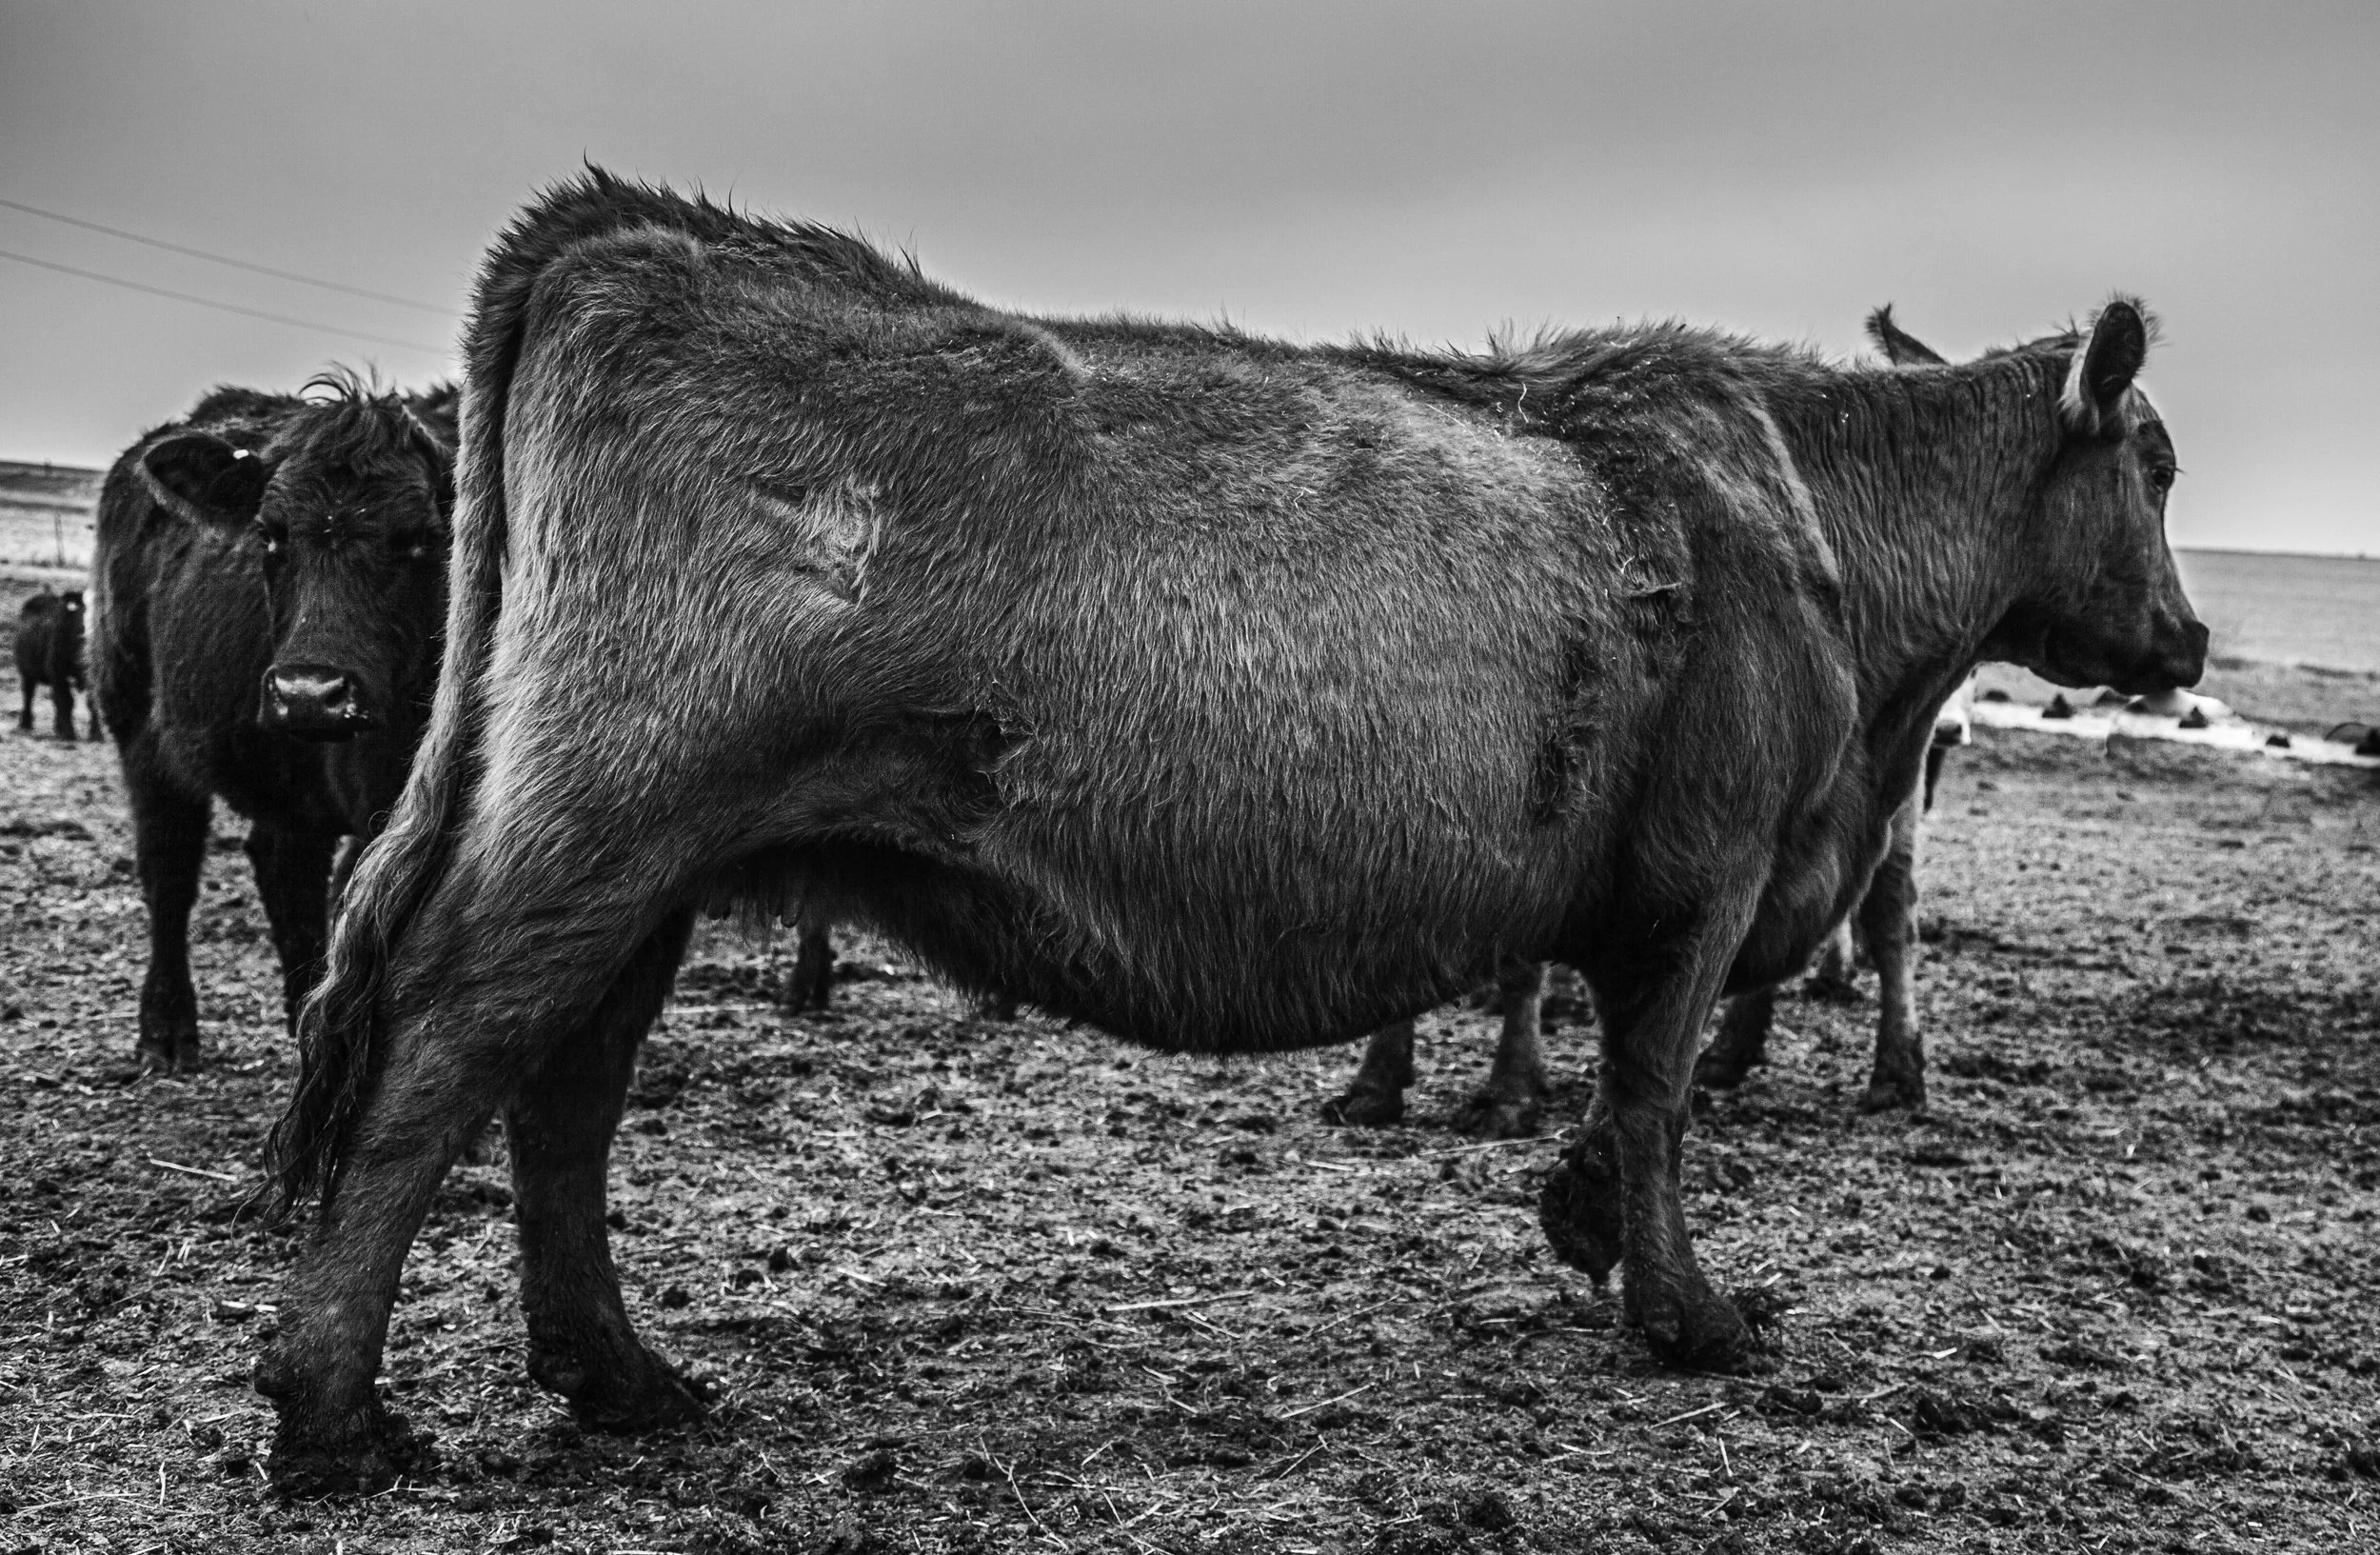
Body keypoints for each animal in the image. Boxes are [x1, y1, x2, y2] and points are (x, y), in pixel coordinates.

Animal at [14, 587, 92, 740]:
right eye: (80, 627)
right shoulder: (57, 671)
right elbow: (66, 700)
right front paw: (69, 733)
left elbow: (92, 702)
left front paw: (97, 735)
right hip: (26, 671)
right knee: (28, 695)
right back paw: (25, 724)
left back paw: (57, 727)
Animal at [88, 375, 459, 1073]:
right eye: (270, 534)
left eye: (421, 538)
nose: (308, 694)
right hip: (139, 732)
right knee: (170, 867)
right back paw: (167, 1030)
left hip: (286, 780)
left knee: (284, 869)